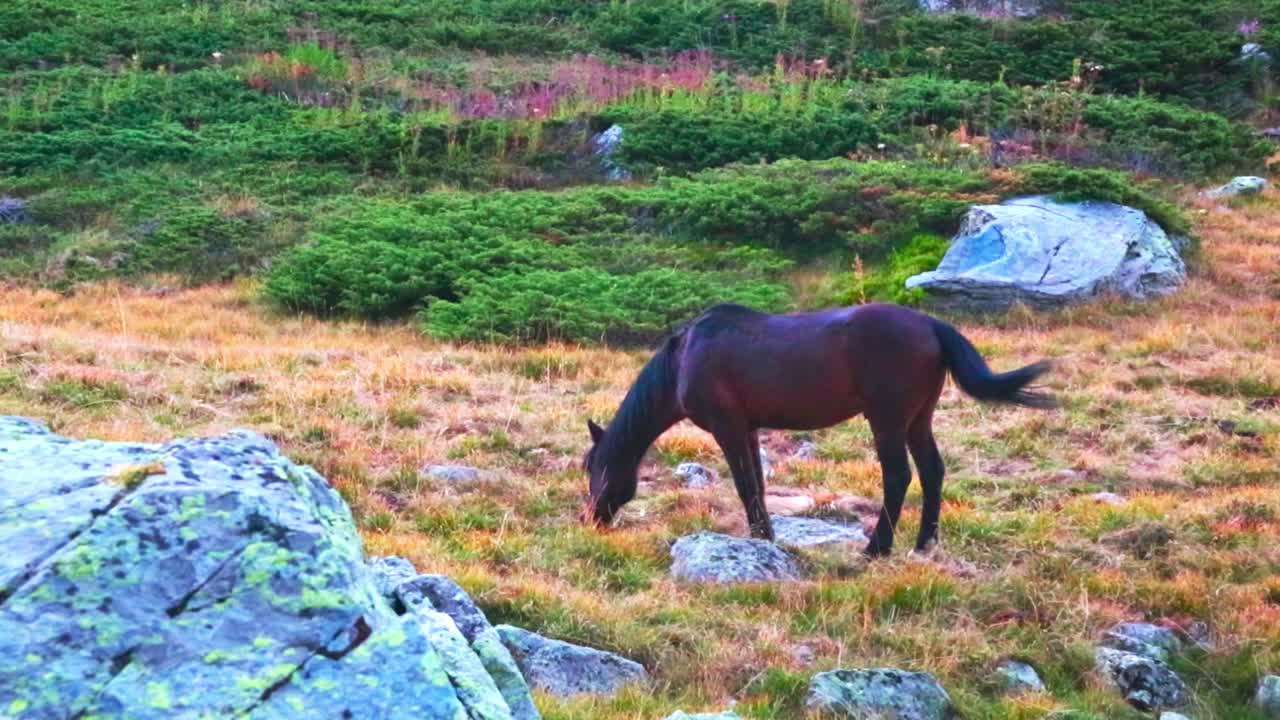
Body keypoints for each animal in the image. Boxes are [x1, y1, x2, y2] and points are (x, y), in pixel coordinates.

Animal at [581, 303, 1055, 556]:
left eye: (592, 468)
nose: (590, 519)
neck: (685, 358)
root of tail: (932, 325)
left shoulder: (727, 427)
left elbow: (745, 485)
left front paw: (761, 538)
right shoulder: (748, 428)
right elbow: (756, 483)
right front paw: (766, 537)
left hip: (888, 419)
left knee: (898, 476)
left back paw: (876, 547)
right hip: (919, 418)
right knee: (933, 472)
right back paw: (923, 543)